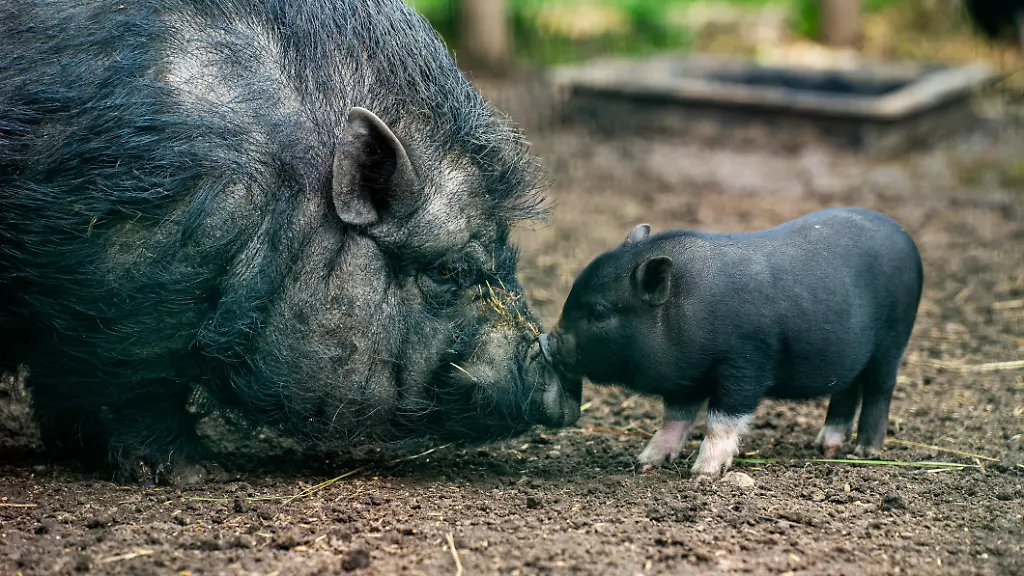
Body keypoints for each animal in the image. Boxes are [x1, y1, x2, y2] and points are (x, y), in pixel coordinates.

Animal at [541, 207, 922, 481]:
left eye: (600, 312)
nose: (547, 340)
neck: (687, 309)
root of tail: (904, 235)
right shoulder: (686, 377)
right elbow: (674, 418)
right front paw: (645, 463)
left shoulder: (746, 362)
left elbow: (721, 418)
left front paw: (702, 475)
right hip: (851, 356)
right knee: (847, 391)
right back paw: (825, 446)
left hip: (894, 340)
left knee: (880, 390)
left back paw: (865, 451)